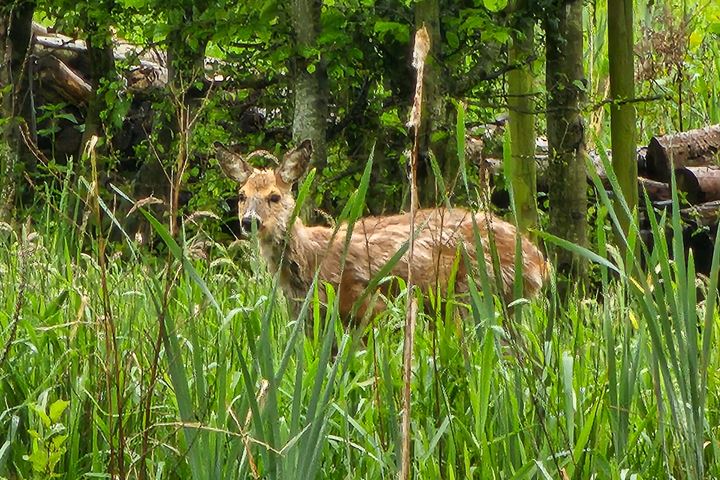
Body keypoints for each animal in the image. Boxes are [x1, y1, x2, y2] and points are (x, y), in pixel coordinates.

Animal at [217, 139, 548, 324]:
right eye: (241, 195)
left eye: (274, 196)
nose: (249, 221)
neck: (310, 260)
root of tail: (539, 262)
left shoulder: (366, 303)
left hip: (477, 292)